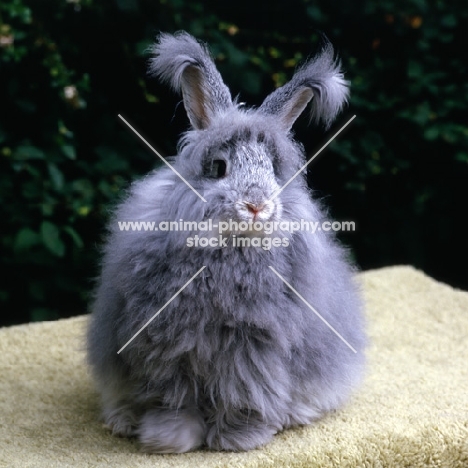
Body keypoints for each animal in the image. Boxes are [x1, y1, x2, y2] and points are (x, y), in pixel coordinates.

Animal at [88, 30, 366, 454]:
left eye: (273, 171)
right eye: (219, 168)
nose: (256, 205)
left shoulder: (253, 349)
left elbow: (245, 392)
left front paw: (237, 439)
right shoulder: (168, 346)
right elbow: (173, 398)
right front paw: (168, 439)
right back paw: (123, 422)